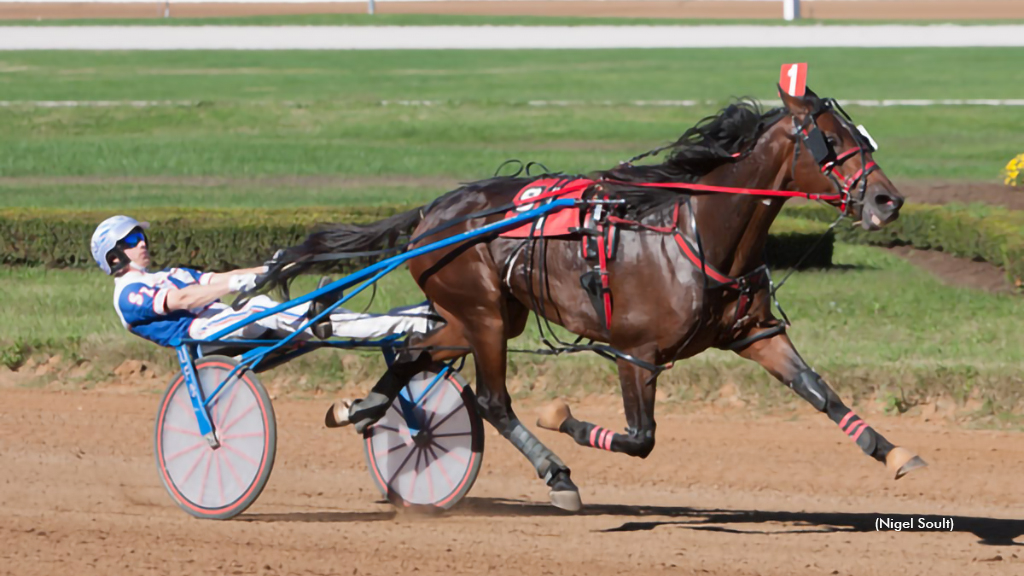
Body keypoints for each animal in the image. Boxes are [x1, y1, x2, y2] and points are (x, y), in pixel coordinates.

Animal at [276, 87, 925, 508]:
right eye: (831, 141)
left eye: (860, 136)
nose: (887, 201)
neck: (701, 234)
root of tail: (431, 213)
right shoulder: (637, 353)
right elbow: (640, 439)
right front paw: (560, 416)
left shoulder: (754, 334)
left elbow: (819, 390)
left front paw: (893, 452)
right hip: (483, 315)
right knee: (491, 400)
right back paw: (555, 474)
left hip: (482, 315)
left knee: (414, 350)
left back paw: (362, 408)